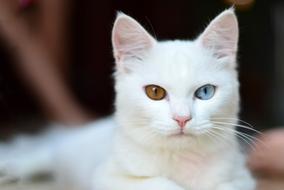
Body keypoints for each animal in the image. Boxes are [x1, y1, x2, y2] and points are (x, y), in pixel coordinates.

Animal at [0, 8, 255, 190]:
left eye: (205, 92)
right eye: (155, 92)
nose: (182, 118)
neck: (180, 159)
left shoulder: (242, 178)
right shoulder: (107, 177)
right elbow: (160, 184)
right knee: (45, 151)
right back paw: (12, 168)